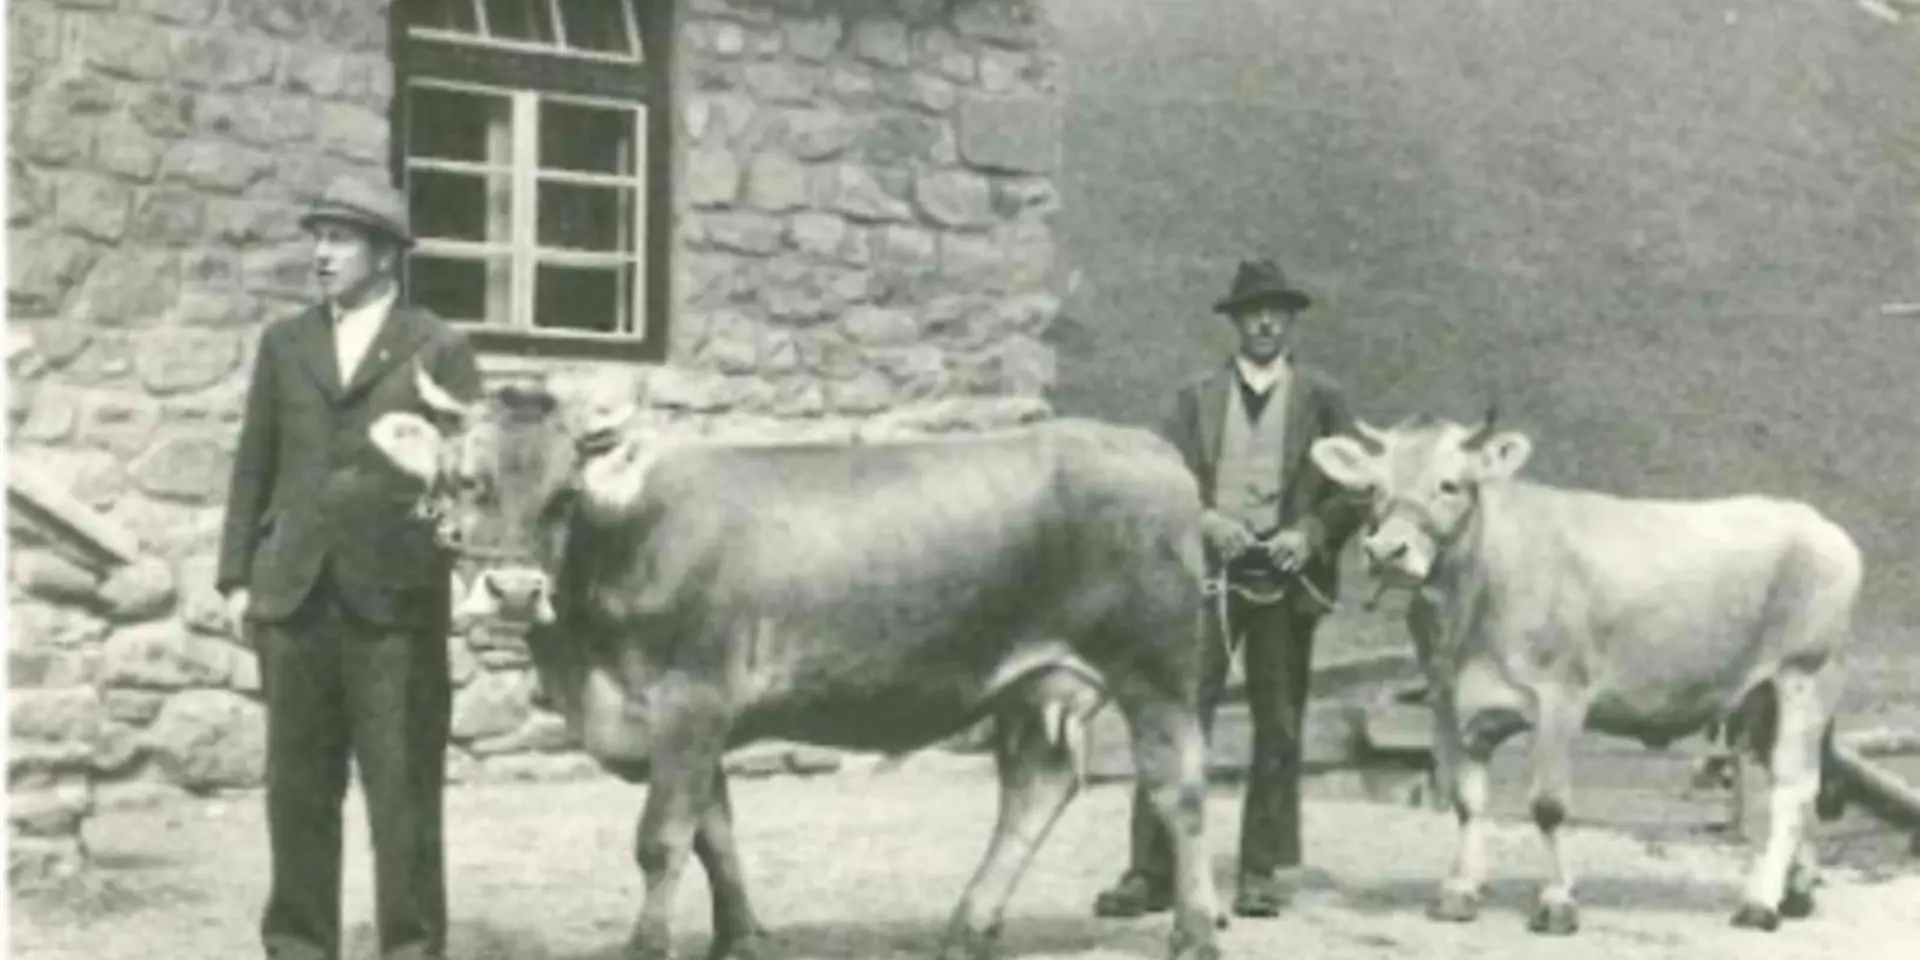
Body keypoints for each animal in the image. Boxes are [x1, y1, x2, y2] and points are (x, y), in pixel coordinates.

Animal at [1313, 408, 1850, 933]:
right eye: (1373, 487)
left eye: (1449, 485)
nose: (1387, 551)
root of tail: (1817, 522)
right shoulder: (1449, 698)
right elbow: (1466, 798)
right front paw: (1459, 890)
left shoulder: (1561, 696)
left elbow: (1548, 805)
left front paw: (1556, 902)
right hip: (1758, 698)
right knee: (1790, 782)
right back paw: (1796, 889)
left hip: (1805, 675)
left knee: (1792, 787)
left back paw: (1760, 903)